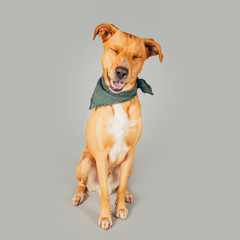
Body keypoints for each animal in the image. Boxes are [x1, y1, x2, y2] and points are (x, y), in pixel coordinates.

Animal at [72, 23, 164, 231]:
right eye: (114, 50)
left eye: (136, 56)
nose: (122, 72)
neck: (118, 100)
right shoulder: (100, 153)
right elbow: (106, 193)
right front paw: (105, 217)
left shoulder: (130, 152)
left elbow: (120, 188)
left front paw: (120, 206)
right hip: (86, 161)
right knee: (83, 184)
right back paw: (79, 195)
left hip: (129, 164)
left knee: (121, 184)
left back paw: (127, 195)